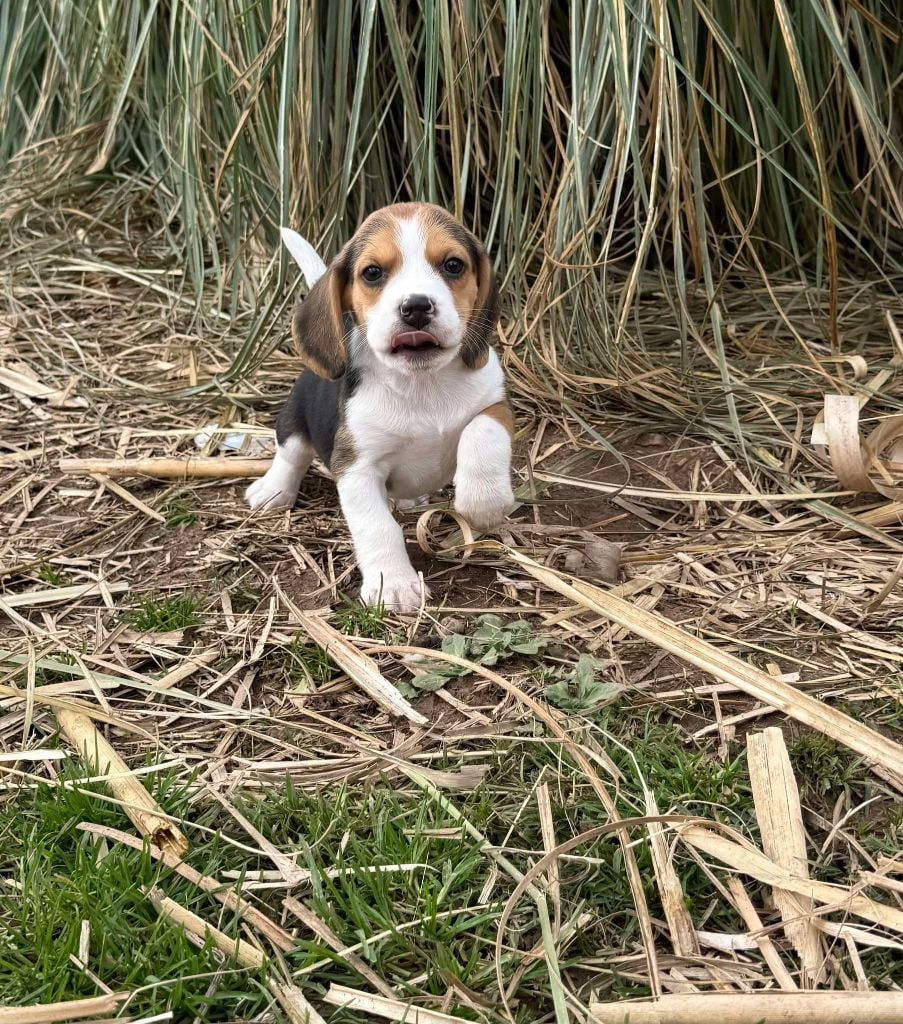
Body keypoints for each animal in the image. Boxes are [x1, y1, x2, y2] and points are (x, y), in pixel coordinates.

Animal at [246, 203, 513, 610]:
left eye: (453, 265)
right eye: (372, 273)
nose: (416, 306)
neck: (422, 384)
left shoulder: (496, 404)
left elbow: (482, 430)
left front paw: (485, 501)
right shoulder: (356, 468)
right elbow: (378, 527)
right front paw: (395, 585)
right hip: (293, 424)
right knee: (290, 456)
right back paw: (272, 490)